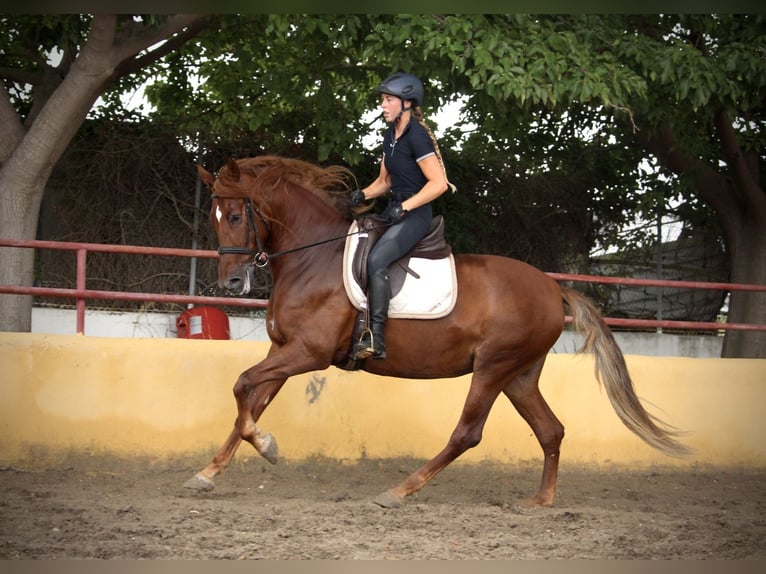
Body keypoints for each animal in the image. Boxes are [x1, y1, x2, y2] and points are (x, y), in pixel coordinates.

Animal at [184, 156, 688, 508]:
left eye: (235, 216)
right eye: (212, 218)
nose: (231, 284)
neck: (313, 258)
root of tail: (551, 286)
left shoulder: (309, 351)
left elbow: (242, 386)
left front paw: (266, 447)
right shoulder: (285, 350)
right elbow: (251, 403)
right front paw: (209, 472)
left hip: (493, 368)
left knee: (467, 433)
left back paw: (400, 491)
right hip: (520, 375)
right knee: (551, 430)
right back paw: (541, 501)